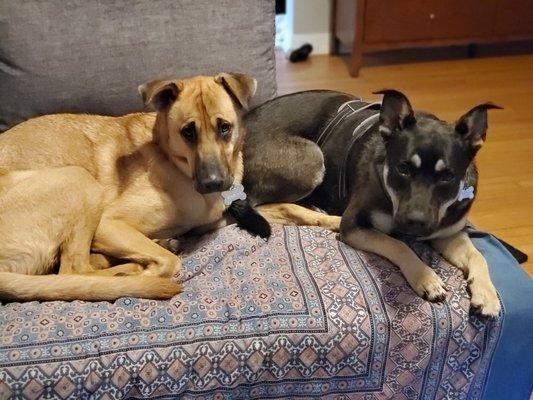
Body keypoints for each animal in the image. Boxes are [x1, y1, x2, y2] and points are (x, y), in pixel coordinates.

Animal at [243, 89, 500, 318]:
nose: (416, 222)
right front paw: (425, 277)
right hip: (312, 158)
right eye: (403, 169)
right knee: (259, 205)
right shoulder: (355, 227)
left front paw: (487, 294)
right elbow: (399, 245)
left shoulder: (449, 233)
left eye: (447, 176)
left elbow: (479, 256)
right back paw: (326, 218)